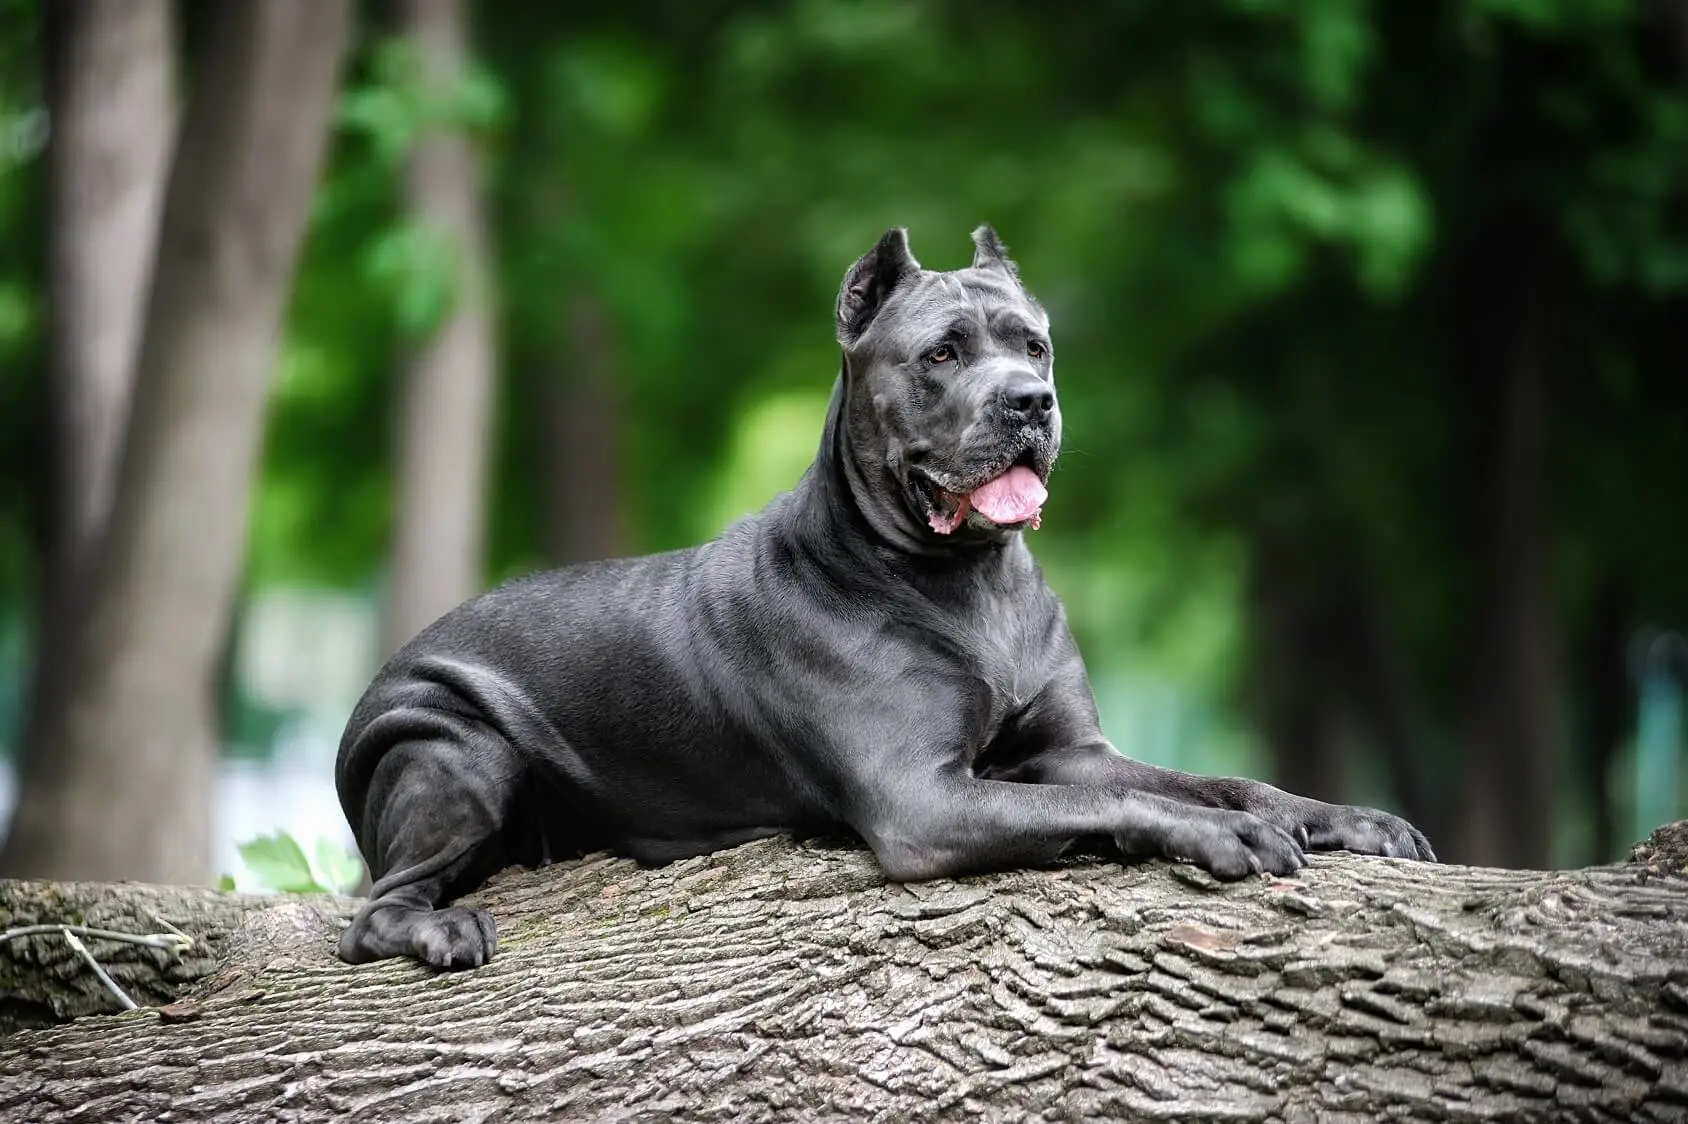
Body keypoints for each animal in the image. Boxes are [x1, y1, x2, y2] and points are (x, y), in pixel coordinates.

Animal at [332, 226, 1438, 965]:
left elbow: (1209, 777)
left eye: (1032, 344)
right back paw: (438, 928)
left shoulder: (1067, 746)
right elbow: (1114, 800)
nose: (1029, 403)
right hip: (456, 752)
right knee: (372, 911)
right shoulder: (925, 796)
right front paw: (1224, 837)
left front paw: (1342, 817)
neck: (966, 578)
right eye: (941, 353)